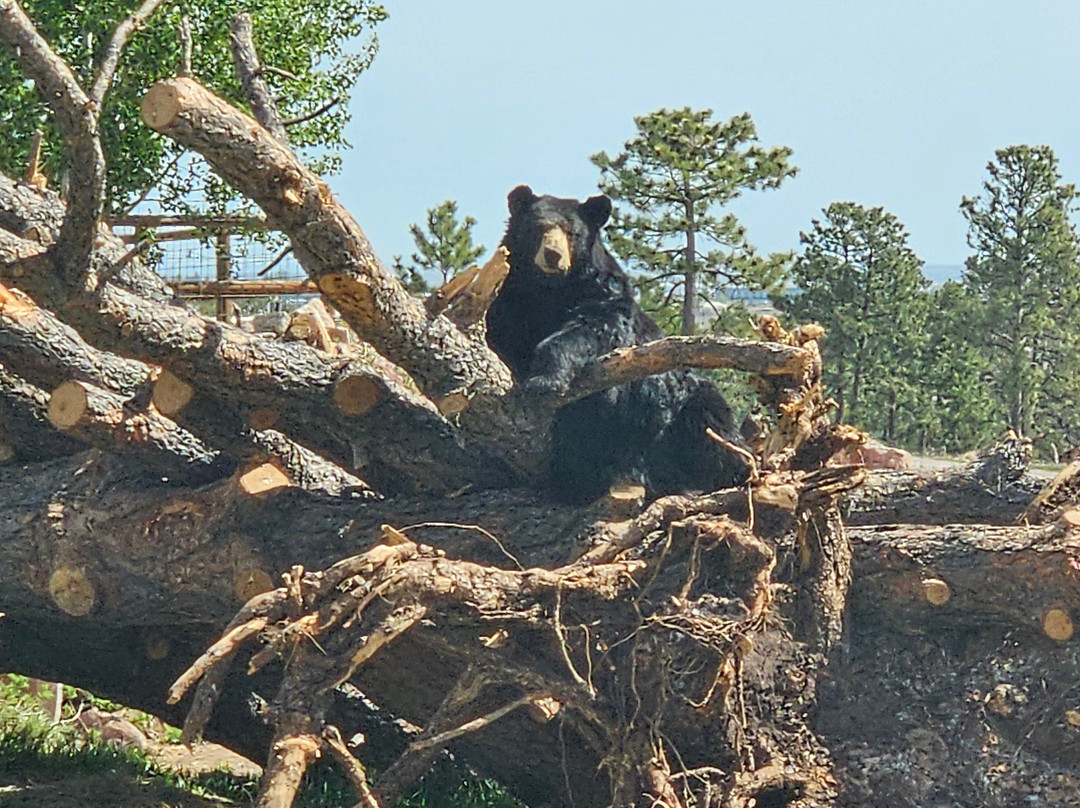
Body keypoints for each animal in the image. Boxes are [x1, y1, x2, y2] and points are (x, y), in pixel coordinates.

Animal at [486, 184, 751, 504]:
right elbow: (500, 334)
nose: (552, 255)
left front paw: (543, 381)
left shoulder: (603, 293)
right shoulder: (508, 299)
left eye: (572, 232)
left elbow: (591, 329)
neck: (549, 290)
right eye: (537, 227)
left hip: (678, 412)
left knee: (714, 424)